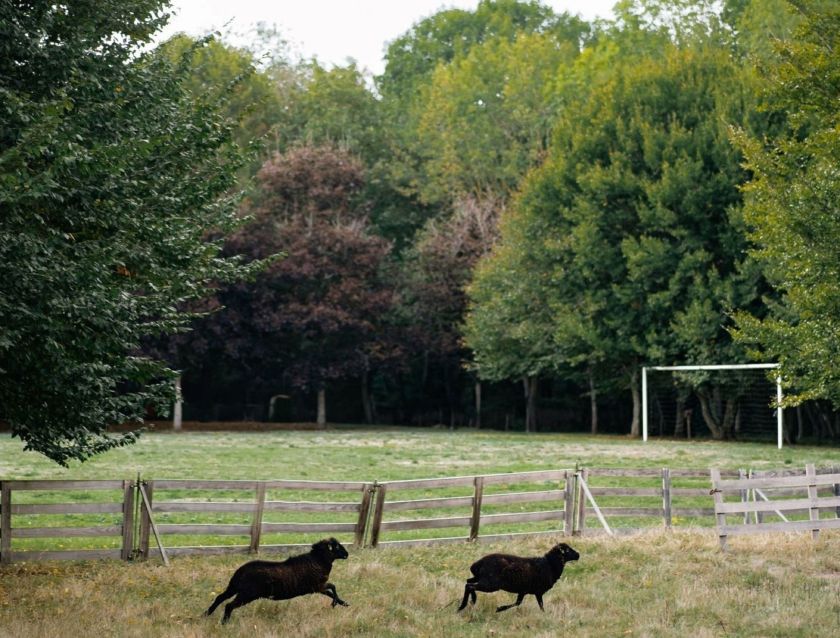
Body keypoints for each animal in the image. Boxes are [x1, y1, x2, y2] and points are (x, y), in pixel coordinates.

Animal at [207, 540, 352, 624]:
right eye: (336, 547)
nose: (347, 554)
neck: (318, 561)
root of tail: (241, 571)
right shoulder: (317, 586)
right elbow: (333, 587)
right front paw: (336, 603)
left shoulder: (316, 588)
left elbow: (330, 592)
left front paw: (343, 603)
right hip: (247, 594)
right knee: (229, 605)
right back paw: (224, 623)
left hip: (234, 587)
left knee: (219, 598)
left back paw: (206, 614)